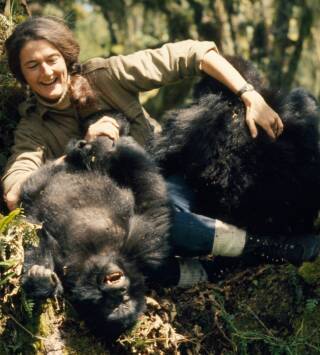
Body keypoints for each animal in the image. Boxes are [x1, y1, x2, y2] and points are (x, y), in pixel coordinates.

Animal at [21, 132, 172, 340]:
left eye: (120, 299)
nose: (117, 288)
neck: (100, 255)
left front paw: (39, 281)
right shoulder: (144, 248)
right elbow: (149, 201)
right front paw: (118, 147)